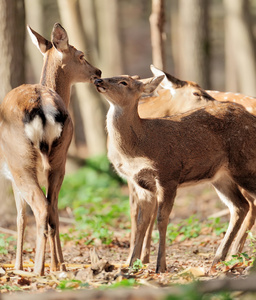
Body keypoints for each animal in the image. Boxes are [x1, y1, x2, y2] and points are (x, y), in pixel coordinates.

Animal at [0, 23, 101, 276]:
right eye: (81, 55)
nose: (98, 71)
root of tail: (42, 105)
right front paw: (58, 264)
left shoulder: (10, 176)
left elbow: (20, 218)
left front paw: (18, 265)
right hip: (59, 159)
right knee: (52, 208)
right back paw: (55, 267)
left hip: (20, 161)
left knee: (40, 208)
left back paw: (35, 270)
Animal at [94, 74, 256, 272]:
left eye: (124, 82)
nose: (98, 81)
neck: (140, 144)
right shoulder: (141, 183)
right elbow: (141, 221)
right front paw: (131, 265)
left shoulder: (168, 173)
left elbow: (162, 219)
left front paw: (160, 266)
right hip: (221, 176)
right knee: (240, 206)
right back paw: (218, 260)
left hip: (244, 163)